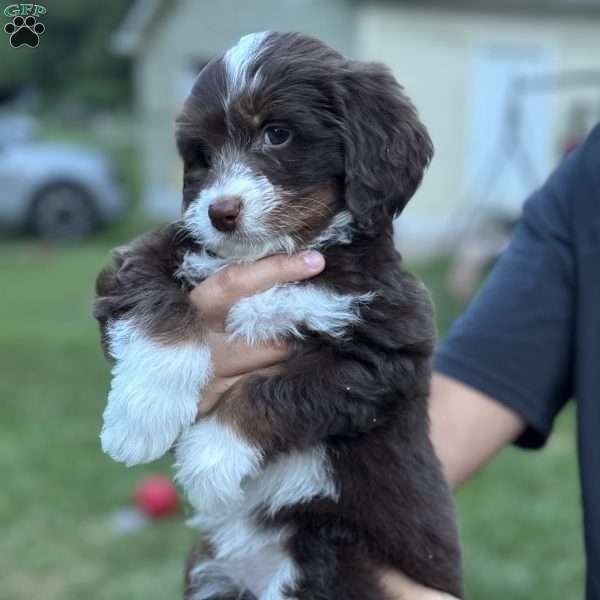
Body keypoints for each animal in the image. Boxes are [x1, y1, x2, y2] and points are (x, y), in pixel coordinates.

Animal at [94, 31, 462, 600]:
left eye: (277, 134)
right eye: (202, 155)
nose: (219, 213)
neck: (275, 257)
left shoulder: (384, 353)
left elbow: (275, 392)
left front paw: (208, 460)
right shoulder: (145, 257)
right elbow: (155, 307)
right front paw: (141, 417)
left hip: (331, 558)